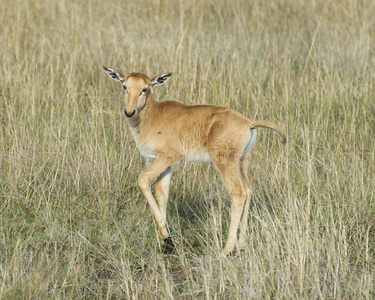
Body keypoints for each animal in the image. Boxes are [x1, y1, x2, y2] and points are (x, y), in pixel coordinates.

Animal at [103, 66, 284, 255]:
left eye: (144, 89)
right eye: (125, 86)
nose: (129, 112)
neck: (154, 114)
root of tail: (249, 123)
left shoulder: (168, 157)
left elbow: (142, 180)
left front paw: (168, 240)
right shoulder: (166, 164)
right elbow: (162, 195)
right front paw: (165, 242)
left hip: (224, 163)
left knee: (238, 193)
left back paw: (225, 250)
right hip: (242, 163)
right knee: (248, 190)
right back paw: (241, 245)